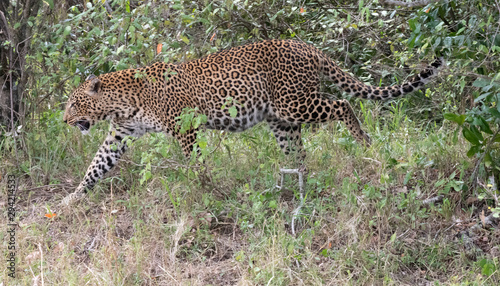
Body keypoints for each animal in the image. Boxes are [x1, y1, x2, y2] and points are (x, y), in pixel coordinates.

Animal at [61, 40, 442, 204]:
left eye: (74, 102)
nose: (64, 120)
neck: (120, 104)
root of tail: (307, 46)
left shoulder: (185, 128)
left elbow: (195, 164)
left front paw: (206, 190)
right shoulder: (119, 135)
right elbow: (96, 165)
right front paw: (72, 199)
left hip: (296, 103)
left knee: (343, 103)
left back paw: (363, 143)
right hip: (281, 121)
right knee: (298, 152)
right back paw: (298, 185)